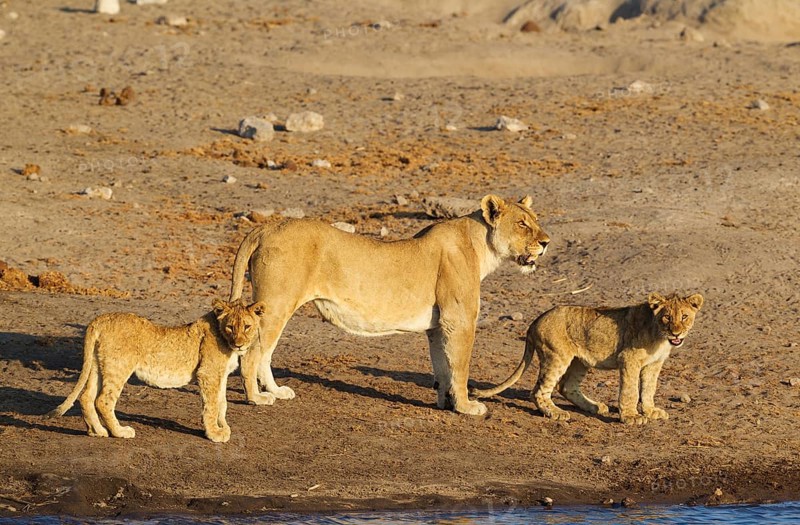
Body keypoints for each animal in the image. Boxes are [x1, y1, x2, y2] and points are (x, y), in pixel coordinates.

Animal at [46, 299, 266, 442]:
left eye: (247, 326)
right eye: (230, 327)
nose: (239, 344)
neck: (225, 340)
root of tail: (100, 319)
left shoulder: (220, 375)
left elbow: (222, 403)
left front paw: (223, 427)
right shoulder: (208, 373)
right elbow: (211, 405)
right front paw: (214, 434)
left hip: (97, 365)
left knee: (86, 397)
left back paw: (97, 431)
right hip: (119, 367)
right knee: (103, 400)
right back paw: (120, 432)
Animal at [229, 195, 550, 416]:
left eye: (536, 219)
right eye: (522, 224)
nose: (547, 242)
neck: (481, 245)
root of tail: (267, 228)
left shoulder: (438, 326)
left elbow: (442, 366)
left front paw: (445, 402)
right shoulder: (459, 320)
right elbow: (460, 366)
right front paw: (467, 407)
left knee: (265, 354)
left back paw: (276, 391)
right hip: (276, 305)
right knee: (253, 355)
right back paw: (257, 398)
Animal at [471, 292, 704, 424]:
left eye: (684, 316)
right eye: (667, 317)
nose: (676, 333)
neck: (660, 337)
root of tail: (536, 320)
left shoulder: (654, 364)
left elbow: (648, 389)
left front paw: (650, 411)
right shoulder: (628, 359)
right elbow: (630, 391)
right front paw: (631, 417)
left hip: (580, 361)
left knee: (566, 386)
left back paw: (595, 407)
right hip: (557, 356)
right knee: (538, 391)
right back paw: (555, 413)